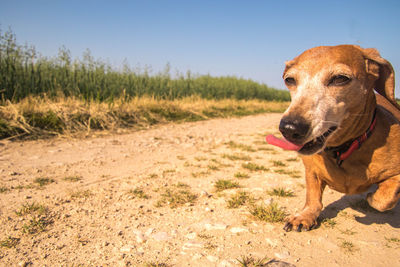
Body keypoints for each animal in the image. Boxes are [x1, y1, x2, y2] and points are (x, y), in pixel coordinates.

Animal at [266, 45, 400, 232]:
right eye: (289, 80)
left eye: (340, 79)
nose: (289, 128)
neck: (343, 150)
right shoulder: (312, 170)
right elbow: (313, 197)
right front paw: (305, 216)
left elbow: (384, 198)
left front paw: (373, 196)